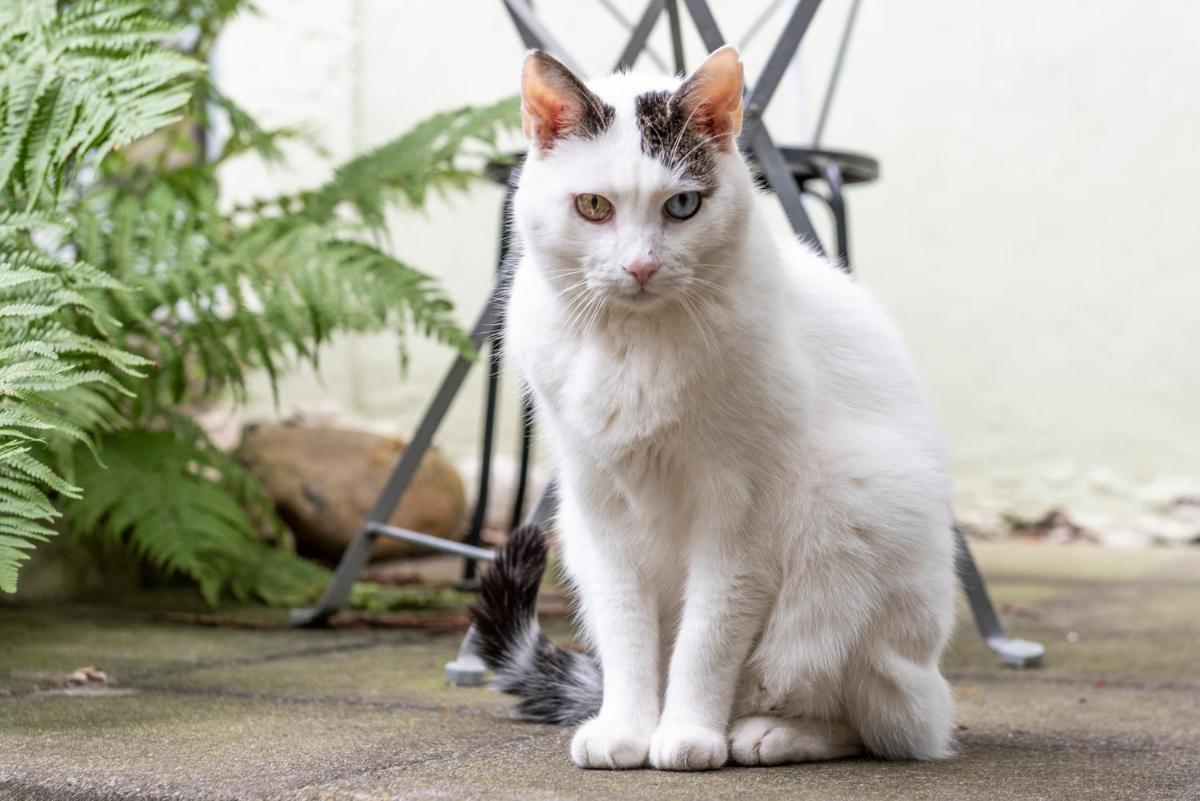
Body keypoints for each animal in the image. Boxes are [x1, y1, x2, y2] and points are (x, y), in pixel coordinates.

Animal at [468, 43, 955, 767]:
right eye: (593, 205)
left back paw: (764, 733)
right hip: (577, 538)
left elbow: (710, 635)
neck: (635, 346)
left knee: (875, 722)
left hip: (852, 512)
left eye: (682, 205)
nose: (640, 266)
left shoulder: (741, 513)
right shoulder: (598, 505)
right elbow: (626, 632)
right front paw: (627, 729)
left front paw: (690, 733)